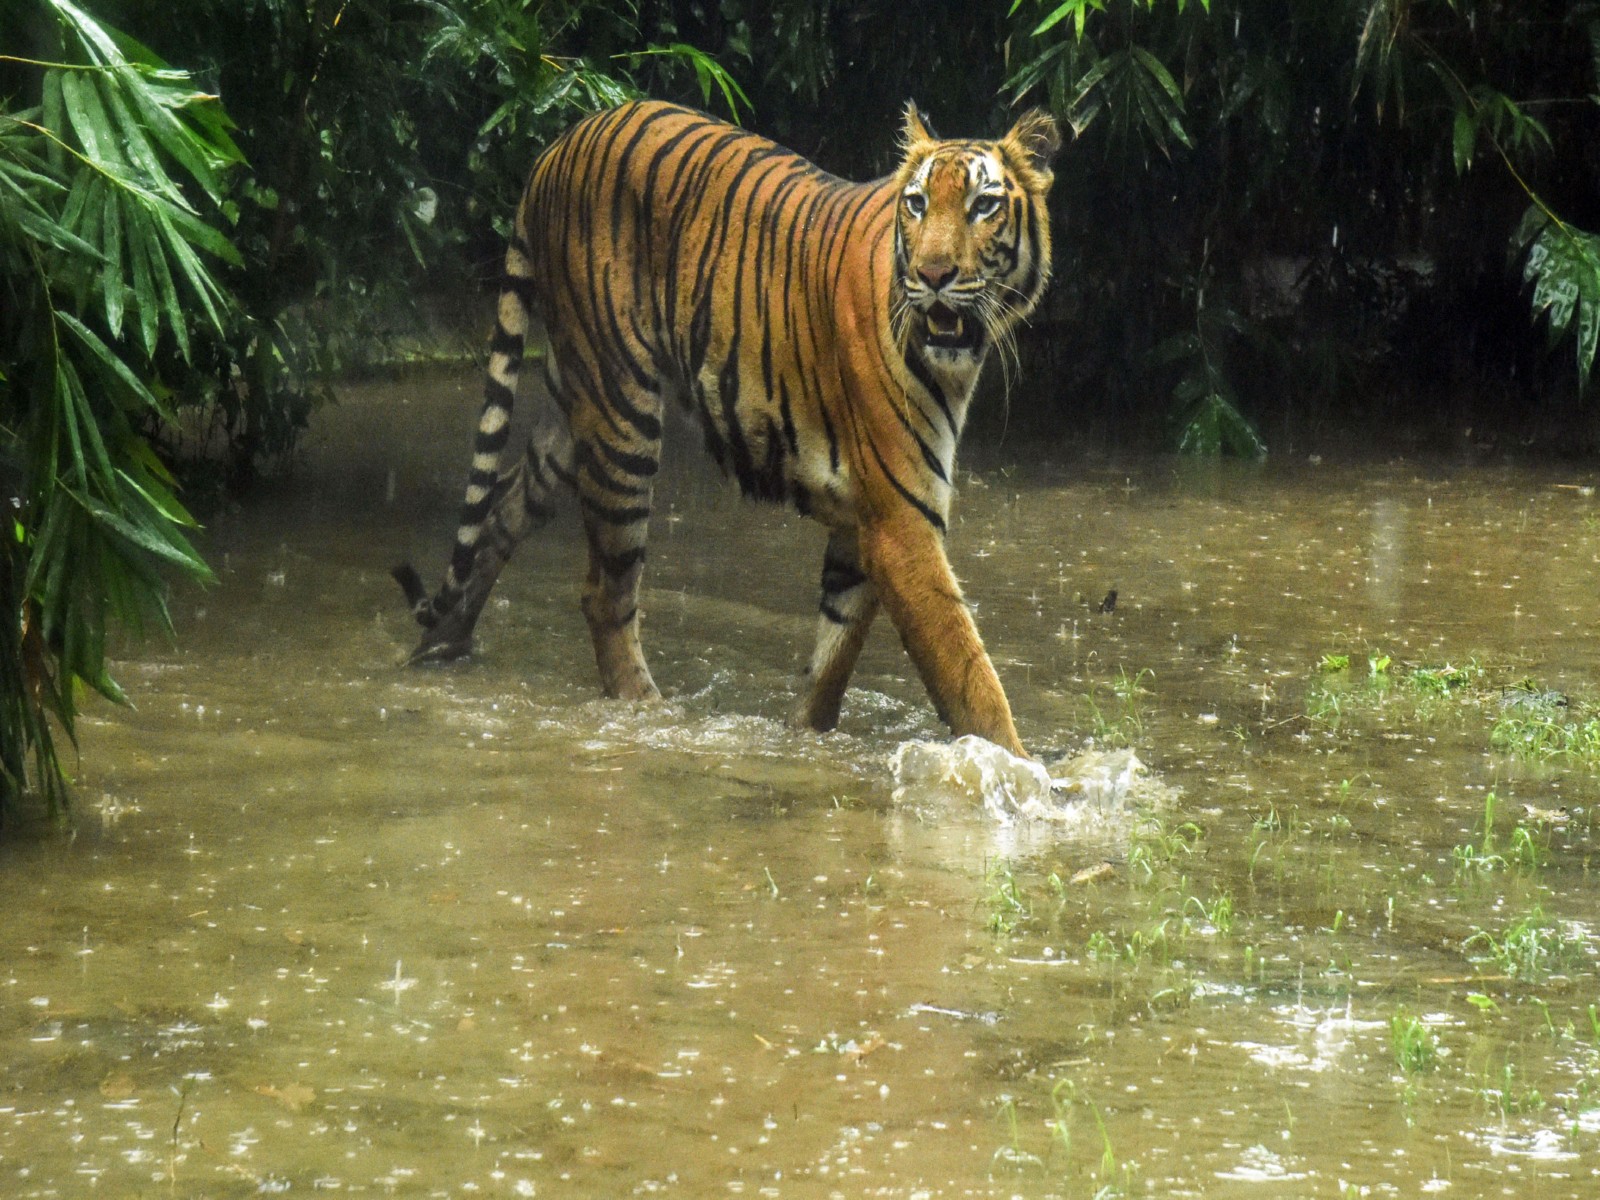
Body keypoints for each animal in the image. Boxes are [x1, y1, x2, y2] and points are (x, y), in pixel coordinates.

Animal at [393, 98, 1060, 757]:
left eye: (983, 206)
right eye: (918, 203)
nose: (933, 274)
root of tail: (557, 146)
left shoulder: (863, 524)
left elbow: (831, 661)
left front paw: (803, 739)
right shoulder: (900, 523)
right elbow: (970, 679)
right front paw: (1027, 773)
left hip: (571, 400)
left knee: (501, 510)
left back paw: (441, 651)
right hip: (622, 411)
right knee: (605, 594)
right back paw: (649, 713)